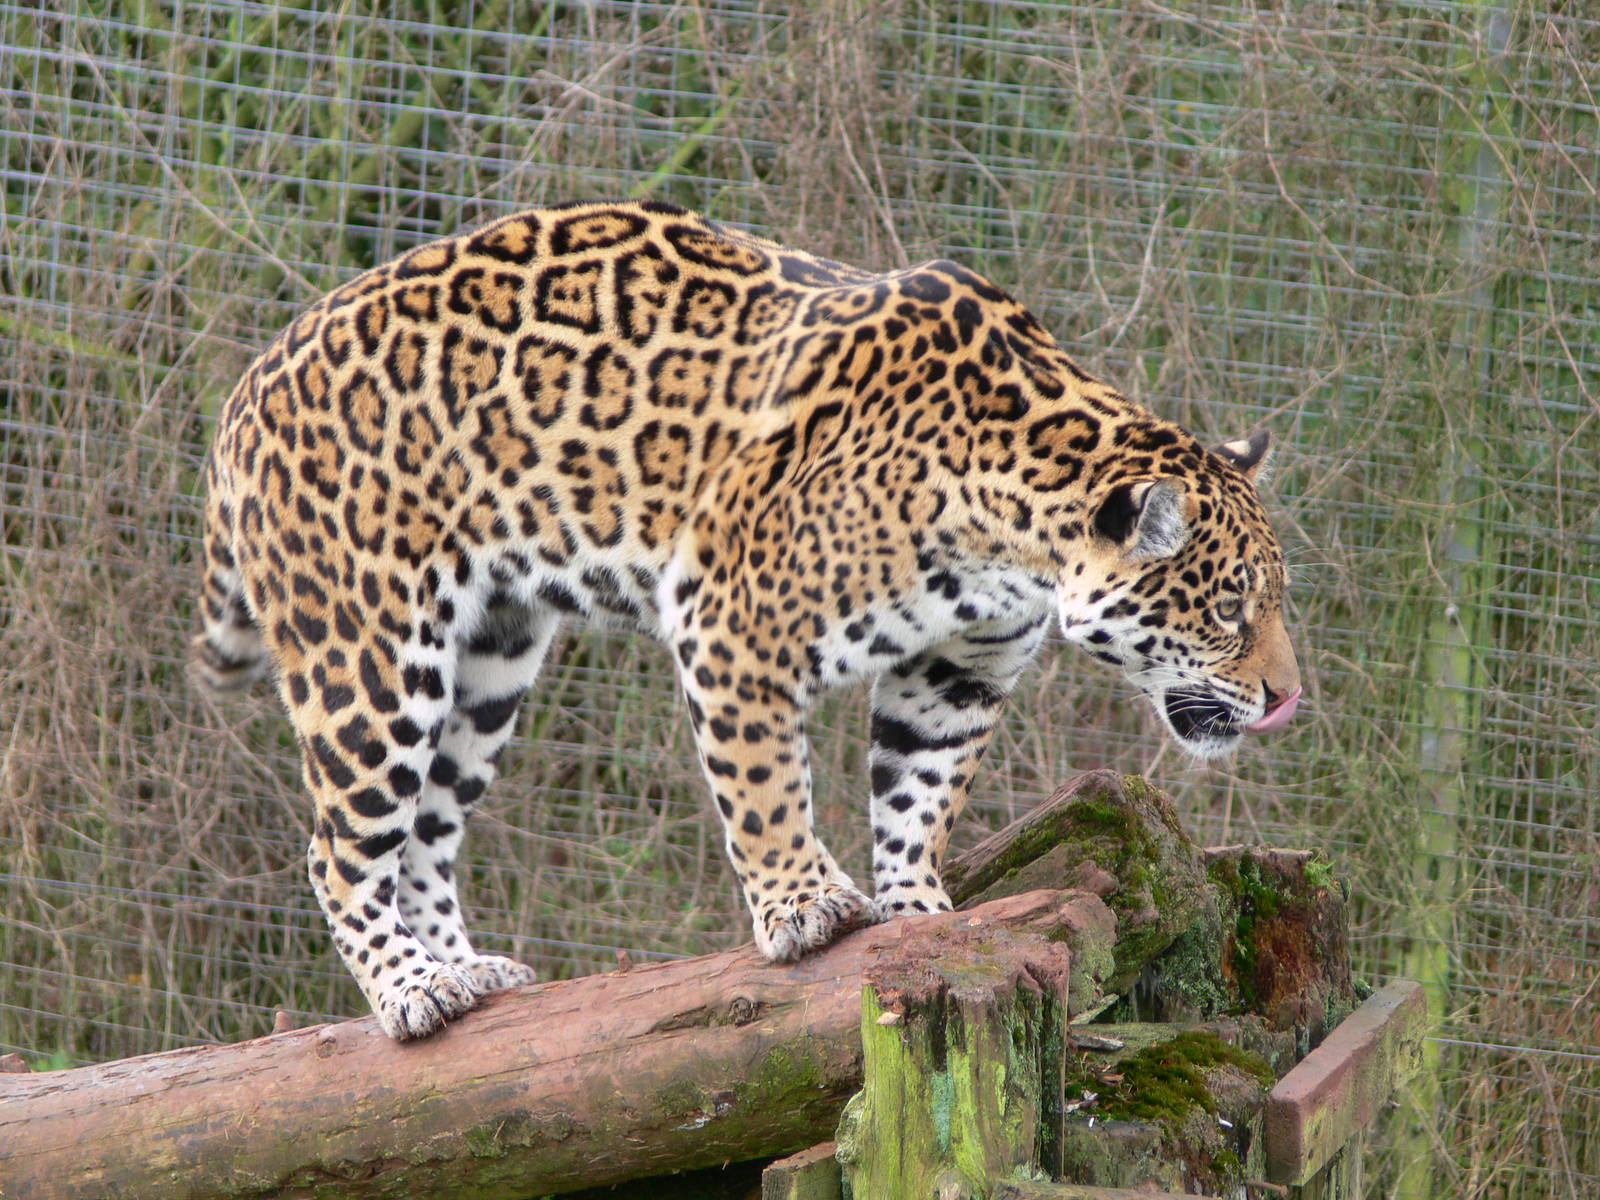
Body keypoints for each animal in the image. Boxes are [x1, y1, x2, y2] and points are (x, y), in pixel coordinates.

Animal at [192, 200, 1301, 1040]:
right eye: (1228, 604)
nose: (1288, 701)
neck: (1019, 536)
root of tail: (244, 393)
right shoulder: (732, 626)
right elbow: (766, 790)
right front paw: (805, 910)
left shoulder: (957, 672)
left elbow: (918, 798)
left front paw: (921, 915)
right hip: (374, 659)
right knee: (340, 849)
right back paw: (408, 993)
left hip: (490, 661)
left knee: (425, 834)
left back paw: (465, 972)